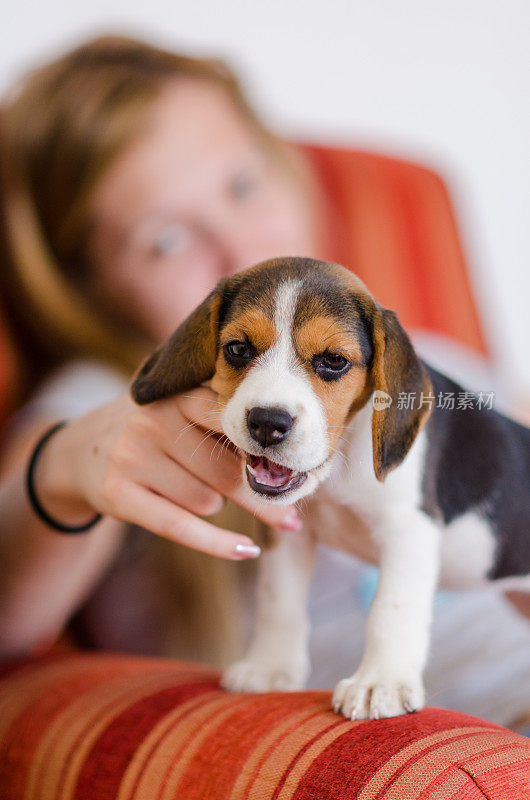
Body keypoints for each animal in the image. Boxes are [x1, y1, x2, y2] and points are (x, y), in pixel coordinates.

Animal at [131, 256, 528, 720]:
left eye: (334, 361)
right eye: (238, 349)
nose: (267, 422)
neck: (335, 471)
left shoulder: (409, 528)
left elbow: (391, 609)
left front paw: (380, 682)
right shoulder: (287, 533)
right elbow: (279, 600)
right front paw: (271, 667)